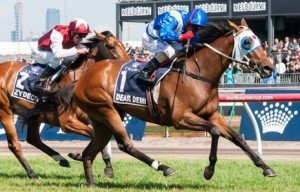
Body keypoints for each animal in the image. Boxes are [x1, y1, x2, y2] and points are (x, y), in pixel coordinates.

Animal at [0, 30, 129, 178]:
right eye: (112, 46)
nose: (127, 63)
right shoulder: (67, 122)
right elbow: (93, 134)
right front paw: (79, 156)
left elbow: (103, 138)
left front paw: (108, 166)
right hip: (5, 111)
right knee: (14, 145)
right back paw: (32, 173)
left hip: (35, 116)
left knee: (33, 138)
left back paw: (60, 159)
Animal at [72, 18, 276, 185]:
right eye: (247, 42)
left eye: (259, 40)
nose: (268, 67)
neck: (198, 73)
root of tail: (82, 78)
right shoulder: (181, 118)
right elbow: (215, 131)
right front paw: (209, 170)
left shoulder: (212, 114)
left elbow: (238, 138)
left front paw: (266, 167)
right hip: (106, 110)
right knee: (126, 145)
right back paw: (164, 167)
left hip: (102, 119)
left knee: (90, 153)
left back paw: (91, 183)